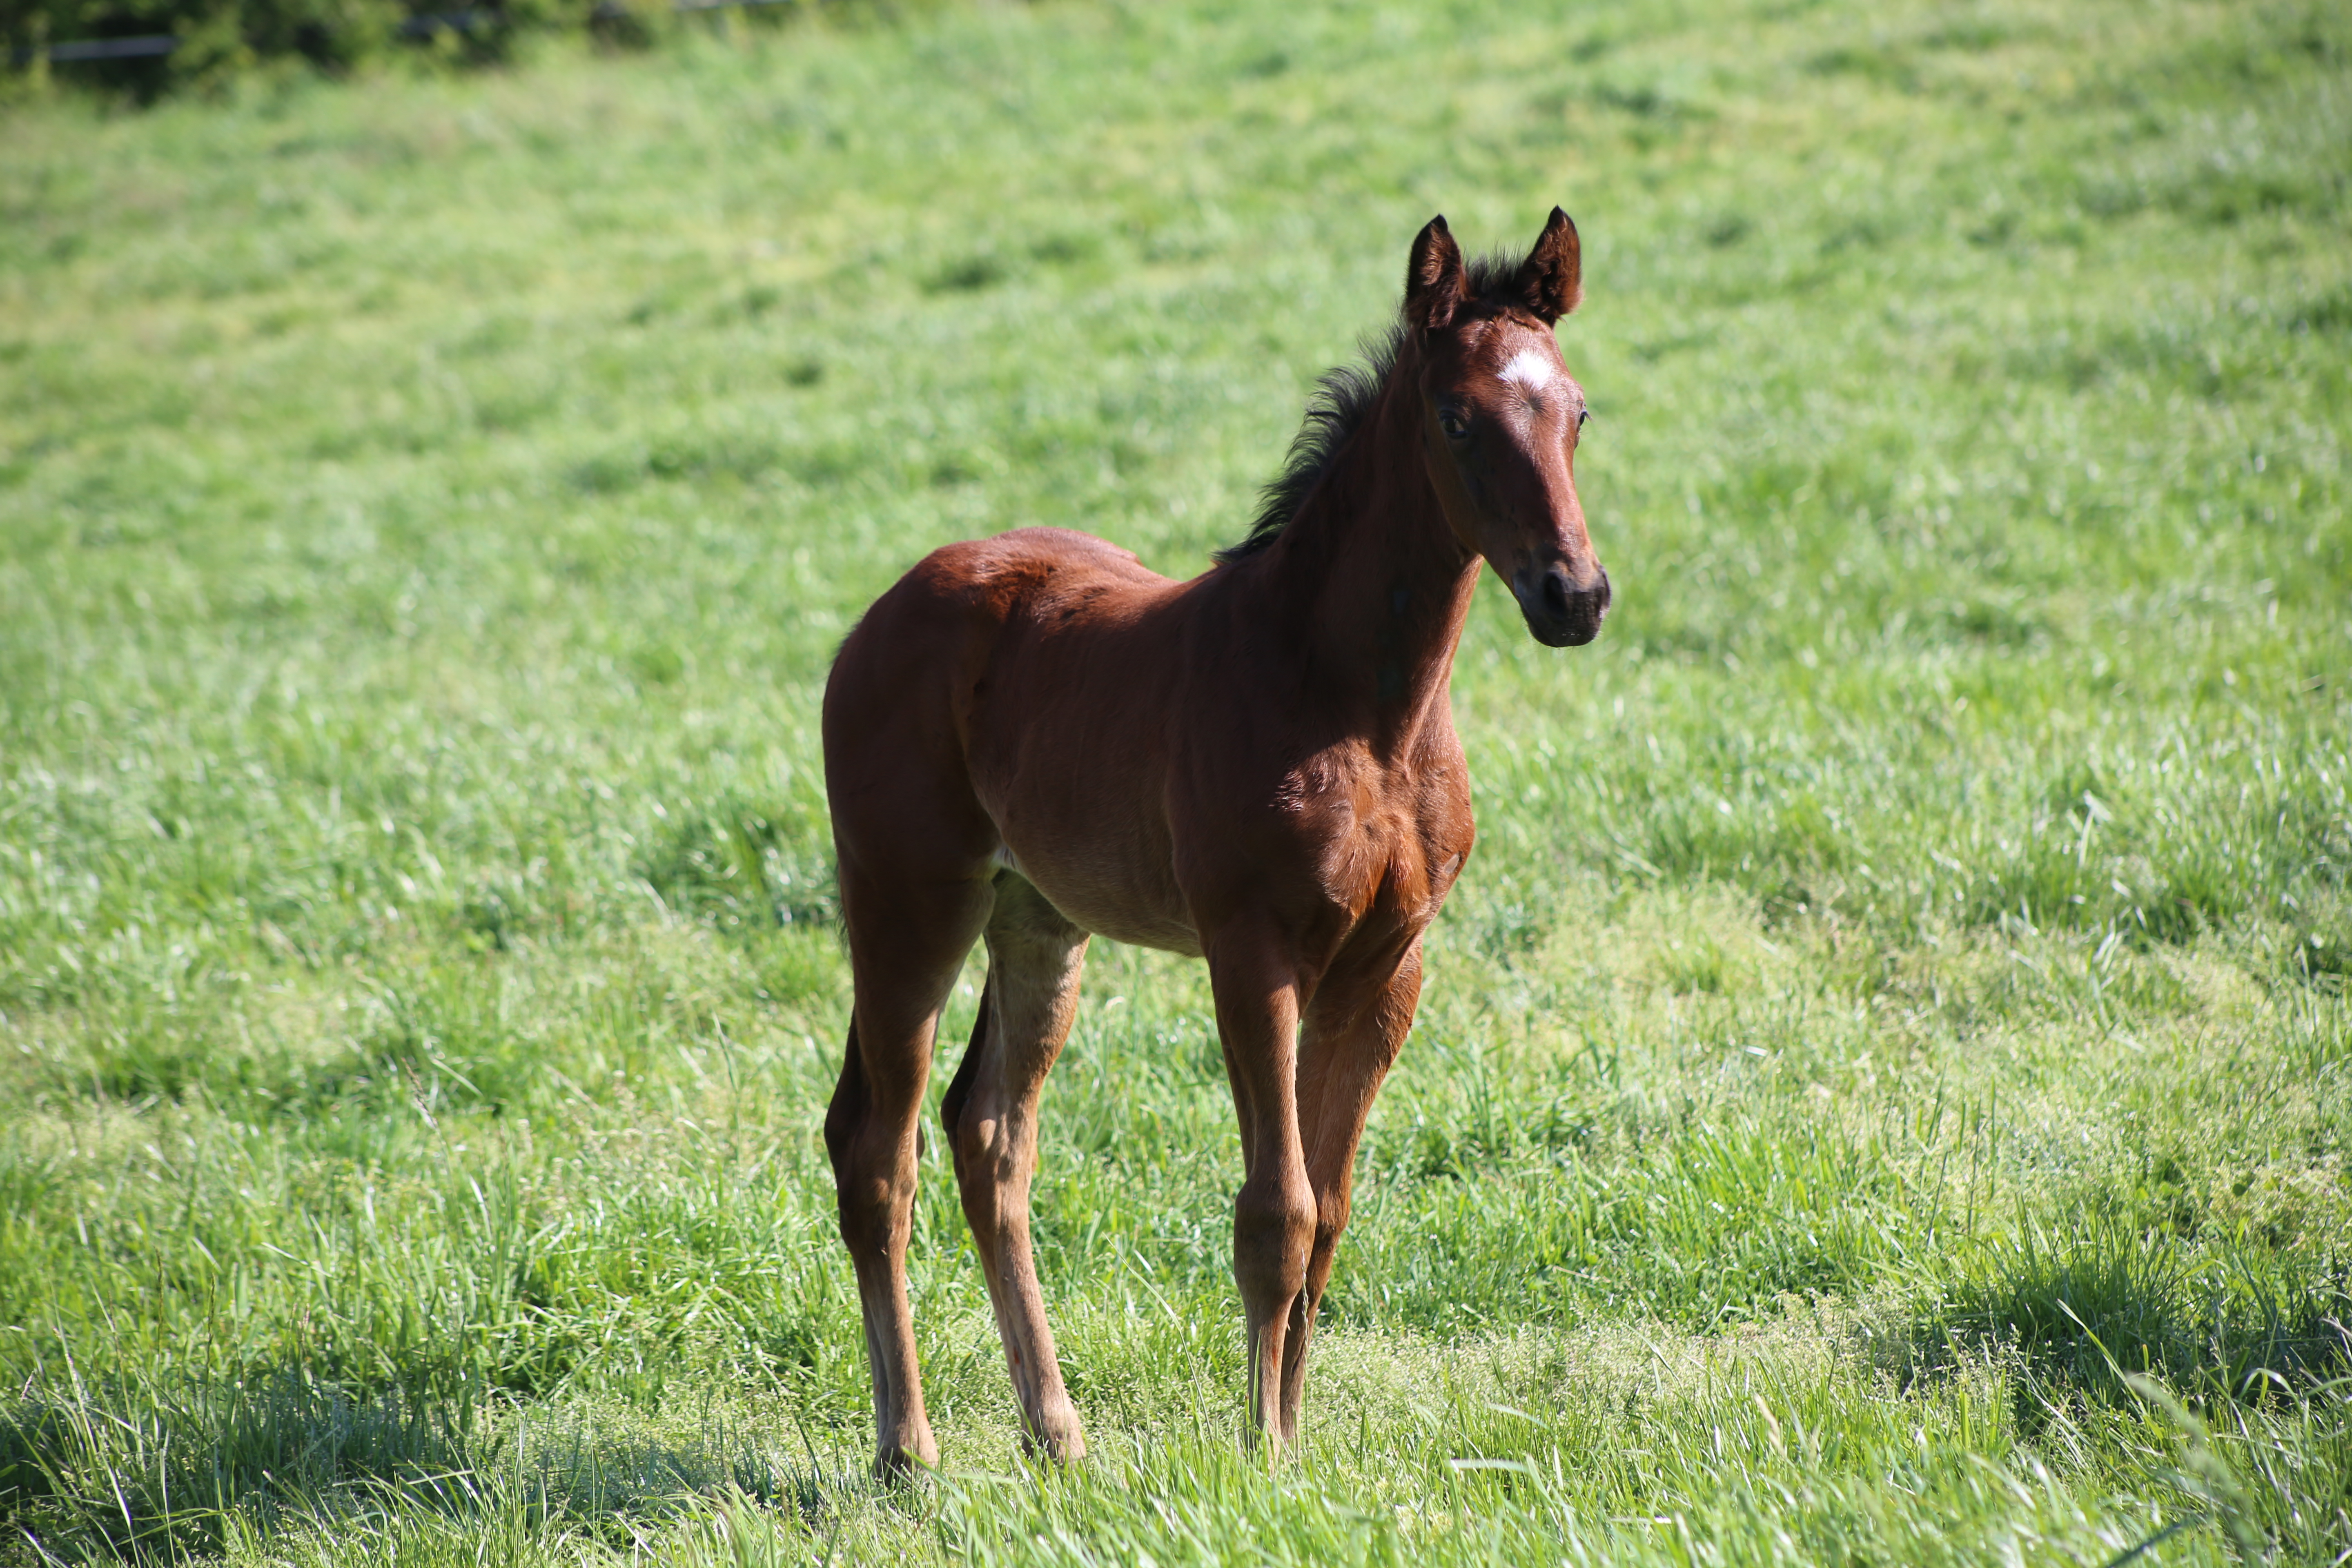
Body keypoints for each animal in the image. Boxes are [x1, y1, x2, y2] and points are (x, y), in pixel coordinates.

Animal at [818, 212, 1608, 1486]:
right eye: (1456, 418)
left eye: (1576, 411)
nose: (1572, 595)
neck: (1354, 706)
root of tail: (880, 615)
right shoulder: (1254, 957)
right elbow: (1274, 1212)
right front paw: (1262, 1454)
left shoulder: (1387, 971)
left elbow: (1330, 1212)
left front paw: (1289, 1429)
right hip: (909, 903)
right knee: (874, 1150)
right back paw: (908, 1449)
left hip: (1039, 921)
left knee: (987, 1137)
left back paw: (1056, 1431)